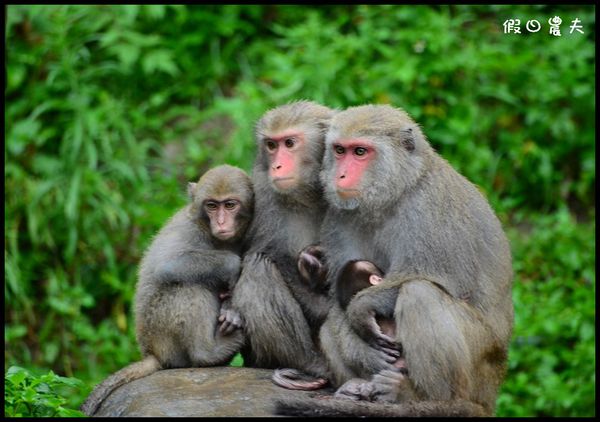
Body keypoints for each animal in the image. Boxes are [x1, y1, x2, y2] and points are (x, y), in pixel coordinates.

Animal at [81, 165, 254, 416]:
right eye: (211, 206)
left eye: (230, 204)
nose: (221, 222)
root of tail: (152, 353)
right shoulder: (189, 230)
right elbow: (166, 264)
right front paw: (231, 266)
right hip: (162, 332)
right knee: (189, 287)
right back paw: (208, 353)